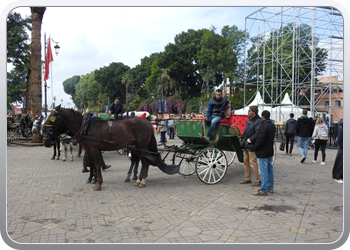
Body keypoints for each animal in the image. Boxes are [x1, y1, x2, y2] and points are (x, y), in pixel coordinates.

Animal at [42, 104, 179, 190]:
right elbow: (93, 164)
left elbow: (97, 165)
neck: (86, 126)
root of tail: (148, 122)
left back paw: (142, 180)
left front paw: (98, 183)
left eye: (52, 118)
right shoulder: (89, 150)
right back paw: (138, 179)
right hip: (137, 147)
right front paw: (94, 179)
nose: (44, 134)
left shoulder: (94, 149)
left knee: (145, 162)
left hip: (142, 147)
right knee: (142, 161)